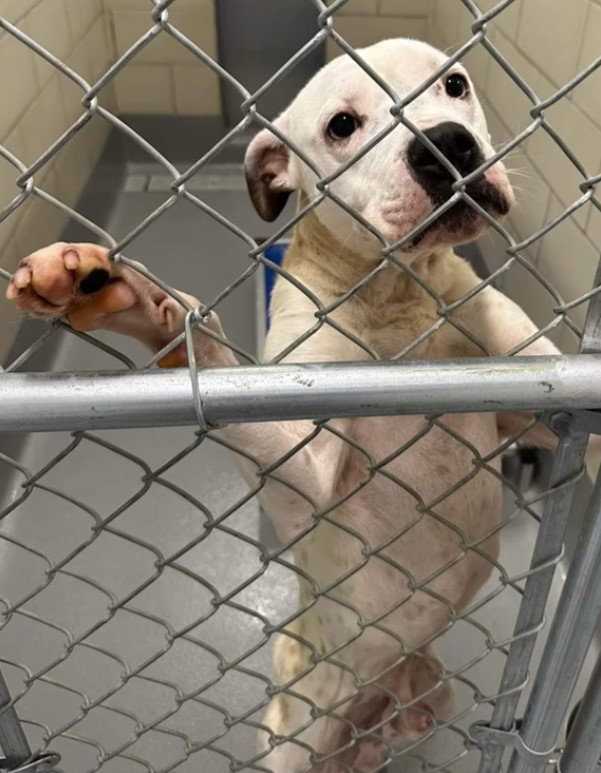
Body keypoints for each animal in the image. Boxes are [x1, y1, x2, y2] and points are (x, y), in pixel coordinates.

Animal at [7, 39, 564, 772]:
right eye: (341, 126)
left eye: (454, 84)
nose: (448, 143)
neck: (394, 296)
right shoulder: (307, 457)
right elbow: (209, 353)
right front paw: (138, 302)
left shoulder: (538, 398)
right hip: (291, 738)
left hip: (423, 695)